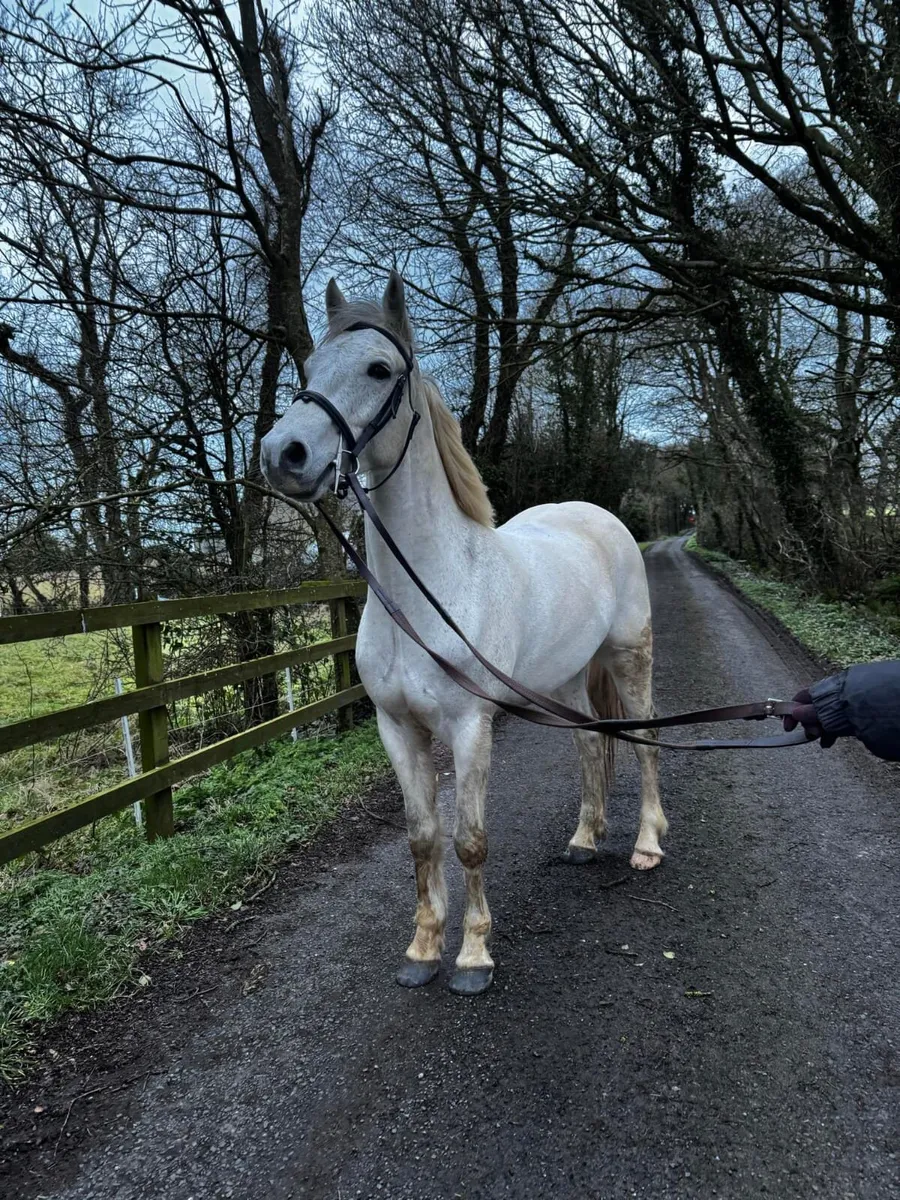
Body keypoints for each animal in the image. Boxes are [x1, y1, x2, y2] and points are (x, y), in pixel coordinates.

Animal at [260, 270, 667, 996]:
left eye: (378, 368)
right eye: (307, 369)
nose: (285, 454)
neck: (434, 589)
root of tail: (601, 518)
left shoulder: (472, 727)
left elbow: (470, 839)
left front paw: (474, 956)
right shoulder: (397, 728)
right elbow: (423, 837)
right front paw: (423, 949)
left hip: (628, 658)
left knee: (643, 742)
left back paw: (646, 845)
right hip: (568, 678)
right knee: (592, 745)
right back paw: (584, 841)